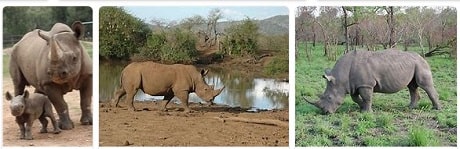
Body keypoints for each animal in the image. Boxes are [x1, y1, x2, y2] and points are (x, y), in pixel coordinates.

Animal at [306, 49, 442, 114]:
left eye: (329, 97)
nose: (325, 113)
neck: (340, 77)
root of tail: (422, 57)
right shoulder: (354, 84)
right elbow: (355, 98)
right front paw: (361, 108)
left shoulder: (366, 84)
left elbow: (367, 98)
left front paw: (367, 113)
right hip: (413, 64)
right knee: (412, 86)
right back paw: (410, 108)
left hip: (420, 64)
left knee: (424, 85)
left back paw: (437, 109)